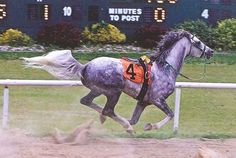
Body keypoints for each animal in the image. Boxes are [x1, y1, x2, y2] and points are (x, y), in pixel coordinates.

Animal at [22, 29, 214, 133]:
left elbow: (135, 118)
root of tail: (84, 66)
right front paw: (149, 126)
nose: (211, 51)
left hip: (98, 90)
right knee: (108, 110)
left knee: (87, 101)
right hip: (114, 92)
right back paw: (119, 123)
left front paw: (135, 124)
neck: (165, 68)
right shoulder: (157, 99)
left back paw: (105, 118)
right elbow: (171, 114)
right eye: (198, 42)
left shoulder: (143, 102)